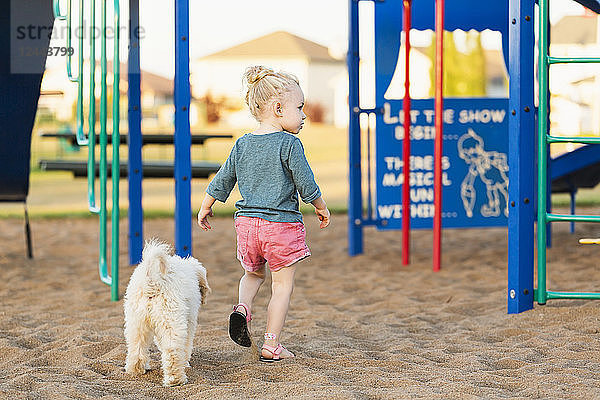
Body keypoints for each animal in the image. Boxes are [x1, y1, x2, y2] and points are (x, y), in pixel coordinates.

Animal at [123, 239, 210, 386]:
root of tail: (151, 280)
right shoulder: (189, 321)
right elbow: (186, 344)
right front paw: (185, 362)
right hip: (171, 321)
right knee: (172, 351)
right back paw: (176, 380)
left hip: (137, 323)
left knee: (136, 347)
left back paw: (136, 370)